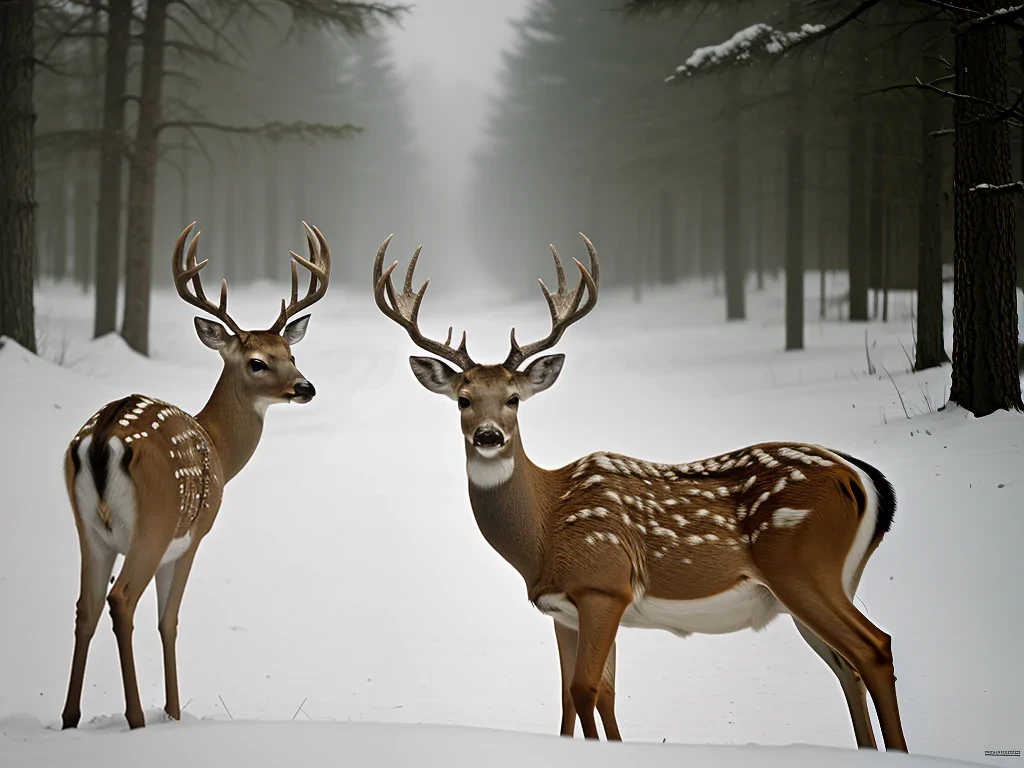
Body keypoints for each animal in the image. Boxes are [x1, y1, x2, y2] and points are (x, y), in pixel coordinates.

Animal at [61, 221, 331, 730]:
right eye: (257, 362)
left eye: (290, 352)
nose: (305, 387)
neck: (220, 448)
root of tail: (102, 437)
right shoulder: (193, 536)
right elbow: (169, 621)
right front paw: (171, 711)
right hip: (154, 522)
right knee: (122, 600)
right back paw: (135, 717)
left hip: (88, 528)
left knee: (85, 607)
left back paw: (70, 717)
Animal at [371, 234, 908, 752]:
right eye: (462, 399)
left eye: (514, 399)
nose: (488, 436)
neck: (545, 531)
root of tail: (863, 478)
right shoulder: (565, 610)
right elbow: (579, 696)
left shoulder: (602, 583)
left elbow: (586, 690)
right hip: (818, 587)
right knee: (846, 665)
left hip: (803, 565)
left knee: (874, 647)